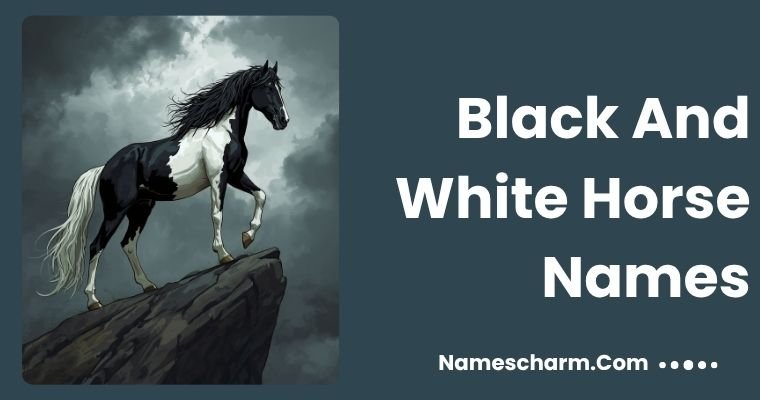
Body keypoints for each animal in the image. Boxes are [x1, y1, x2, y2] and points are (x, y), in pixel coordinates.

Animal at [42, 61, 289, 311]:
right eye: (267, 87)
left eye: (279, 87)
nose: (283, 120)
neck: (222, 132)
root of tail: (104, 167)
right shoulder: (218, 177)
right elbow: (217, 214)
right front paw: (223, 254)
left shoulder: (235, 175)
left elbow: (261, 195)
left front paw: (247, 237)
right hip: (116, 210)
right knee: (96, 246)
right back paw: (93, 301)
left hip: (141, 207)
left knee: (128, 244)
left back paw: (148, 285)